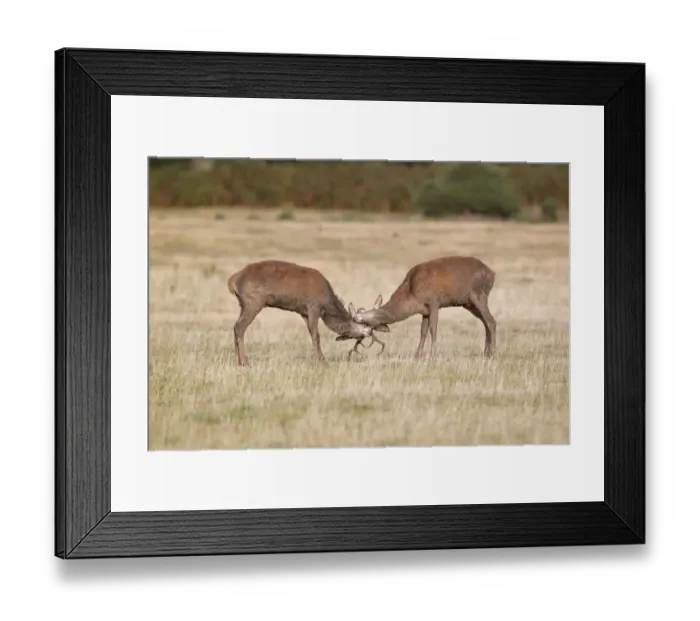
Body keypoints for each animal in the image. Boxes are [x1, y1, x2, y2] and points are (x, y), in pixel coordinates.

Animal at [227, 260, 390, 366]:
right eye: (364, 324)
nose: (370, 331)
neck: (327, 304)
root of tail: (233, 280)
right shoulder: (313, 306)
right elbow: (316, 335)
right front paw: (321, 360)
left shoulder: (304, 312)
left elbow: (311, 333)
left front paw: (316, 357)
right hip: (254, 302)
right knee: (240, 327)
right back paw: (244, 362)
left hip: (243, 304)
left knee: (235, 327)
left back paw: (236, 361)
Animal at [349, 256, 497, 359]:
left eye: (366, 323)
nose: (361, 333)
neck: (411, 293)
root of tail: (492, 274)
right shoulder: (424, 311)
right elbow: (423, 331)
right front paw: (417, 355)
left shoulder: (434, 302)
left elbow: (433, 329)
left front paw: (433, 355)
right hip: (469, 303)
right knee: (485, 322)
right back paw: (486, 352)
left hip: (479, 295)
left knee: (491, 321)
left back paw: (493, 354)